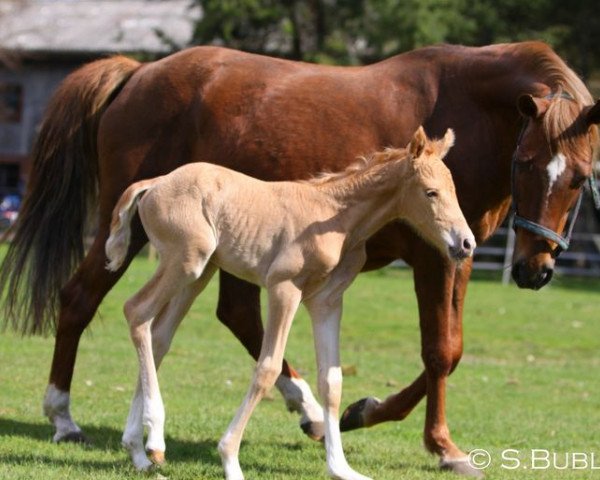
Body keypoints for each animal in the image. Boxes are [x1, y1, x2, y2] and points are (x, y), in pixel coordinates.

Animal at [106, 127, 474, 480]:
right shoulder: (284, 287)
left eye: (455, 190)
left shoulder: (327, 301)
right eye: (431, 192)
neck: (336, 216)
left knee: (158, 336)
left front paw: (341, 468)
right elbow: (267, 368)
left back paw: (139, 451)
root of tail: (156, 182)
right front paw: (230, 460)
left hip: (199, 272)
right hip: (186, 261)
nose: (466, 243)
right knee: (136, 311)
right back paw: (154, 439)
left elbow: (332, 380)